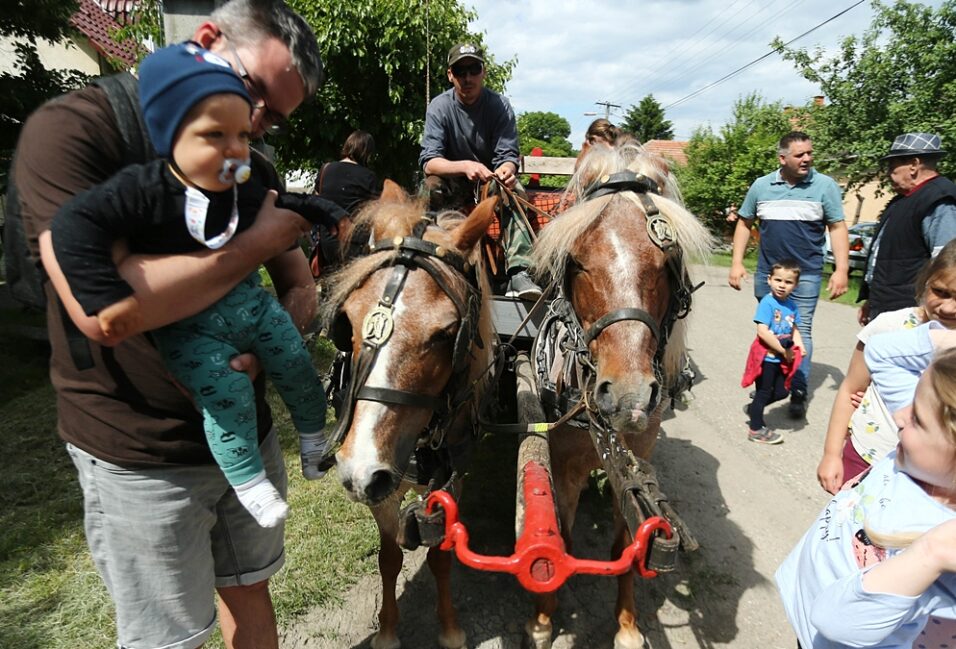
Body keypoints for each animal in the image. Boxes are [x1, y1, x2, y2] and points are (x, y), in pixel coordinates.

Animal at [324, 181, 496, 648]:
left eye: (447, 333)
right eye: (347, 322)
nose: (359, 472)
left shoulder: (449, 477)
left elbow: (440, 555)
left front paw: (450, 629)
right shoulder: (382, 487)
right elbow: (388, 556)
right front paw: (387, 631)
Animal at [528, 143, 712, 648]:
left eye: (666, 264)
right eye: (576, 262)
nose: (628, 396)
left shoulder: (635, 457)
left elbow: (625, 542)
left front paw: (627, 625)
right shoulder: (563, 466)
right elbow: (562, 538)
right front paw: (545, 616)